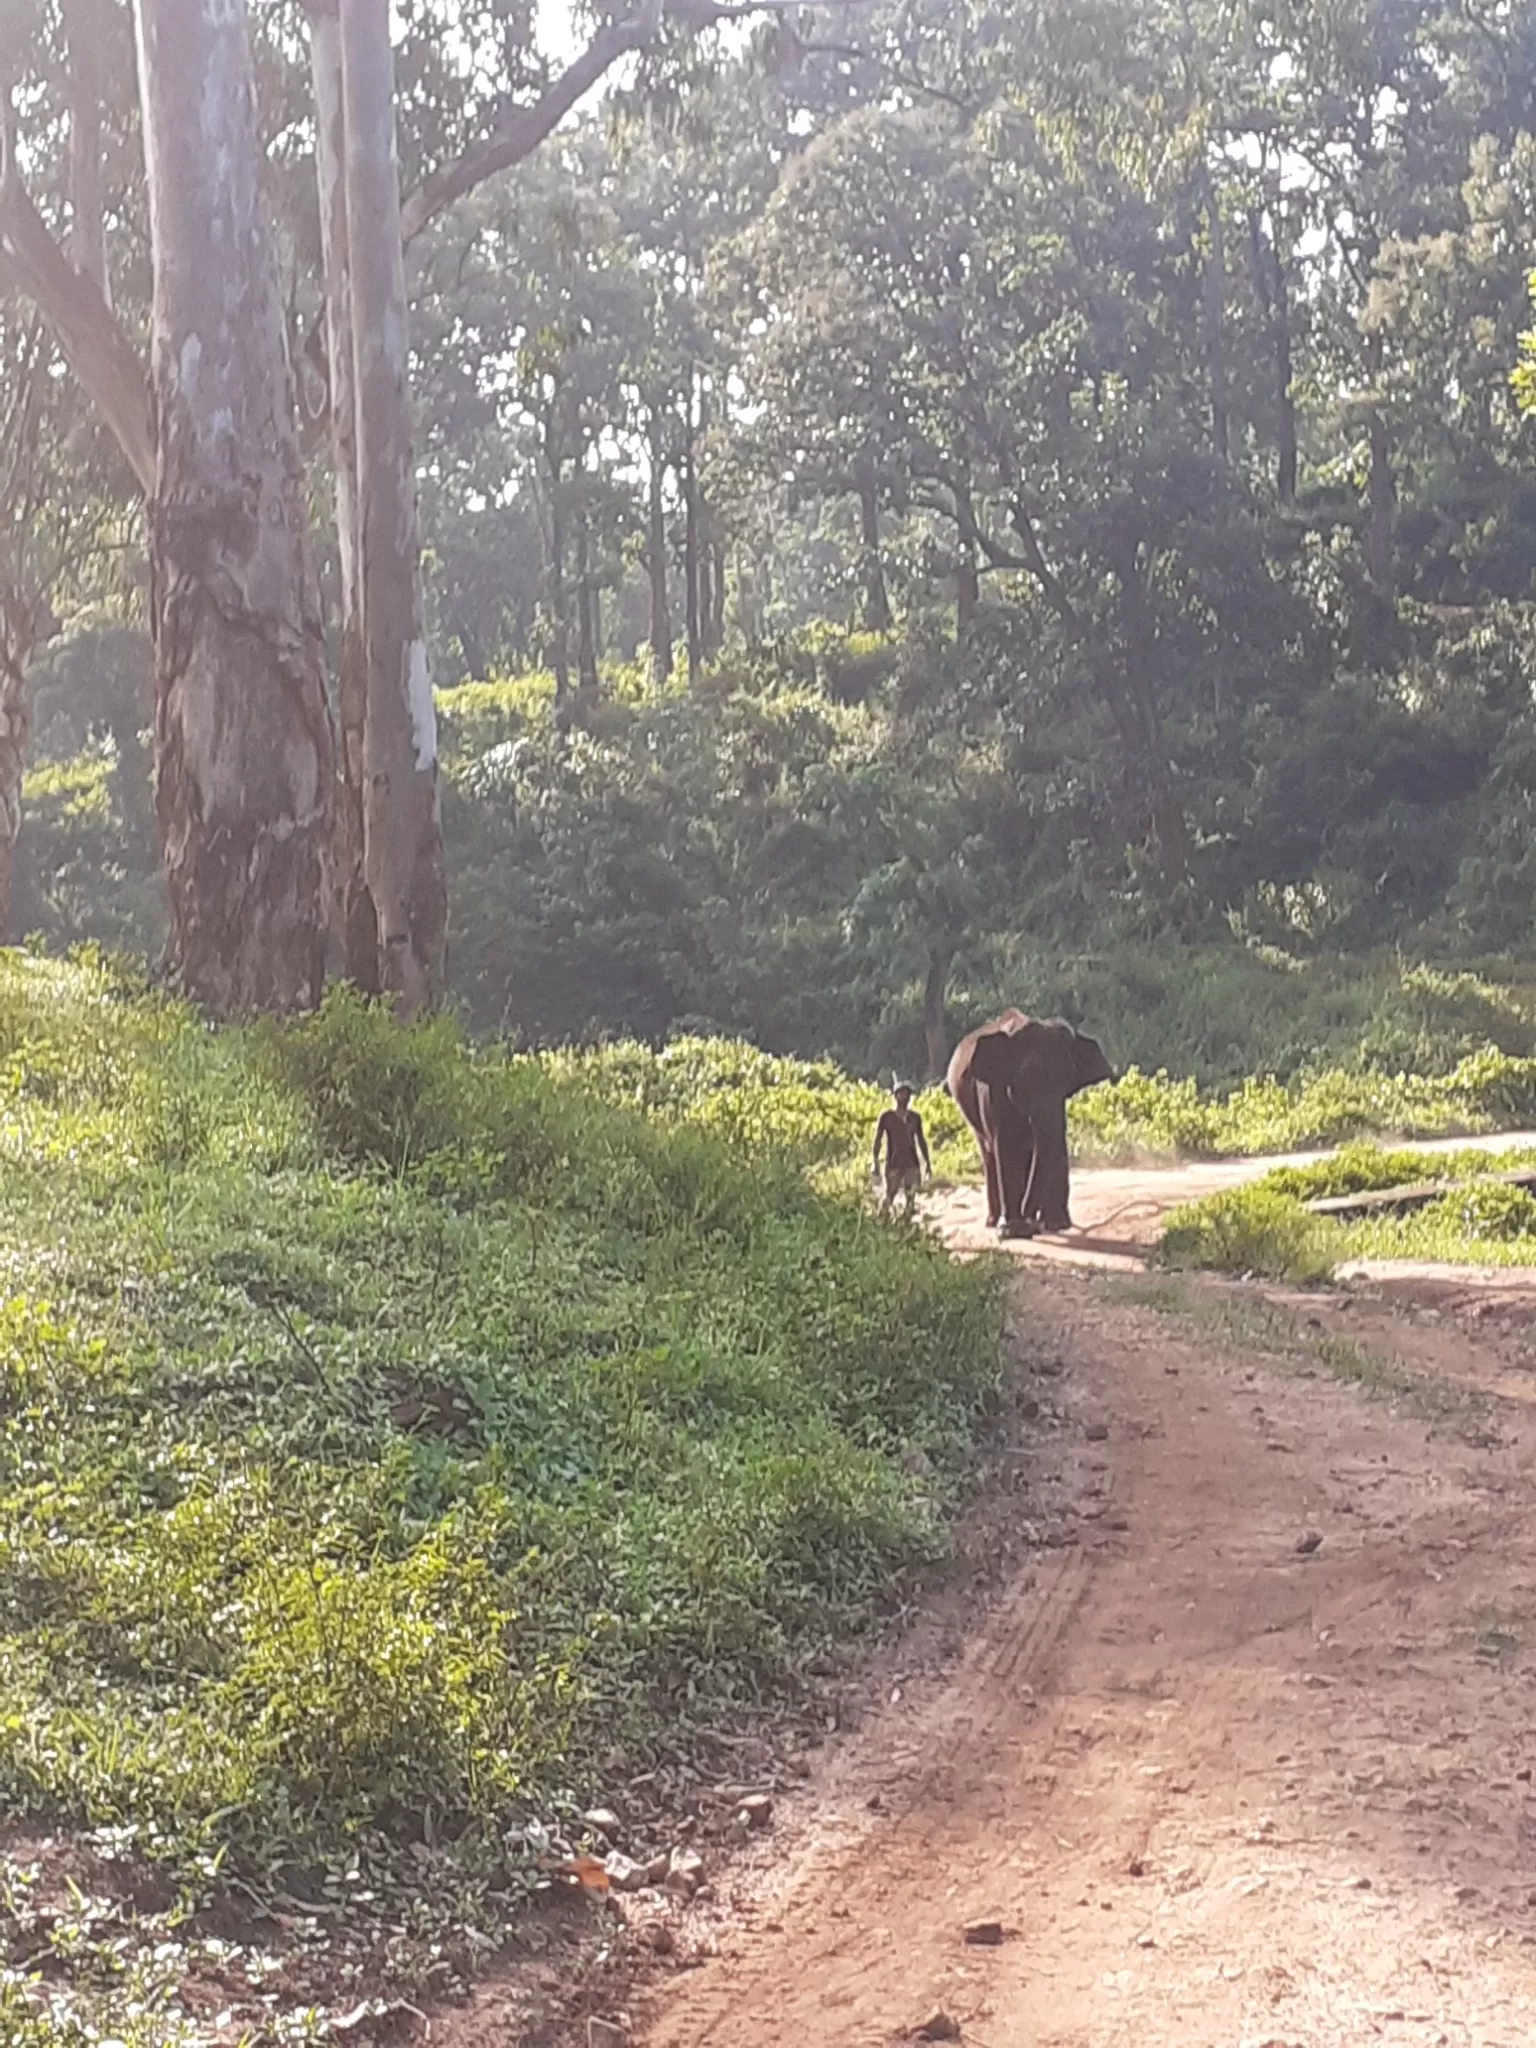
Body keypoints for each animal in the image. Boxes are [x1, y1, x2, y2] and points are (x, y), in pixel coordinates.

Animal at [946, 1011, 1114, 1236]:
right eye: (1025, 1076)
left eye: (1069, 1075)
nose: (1030, 1220)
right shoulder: (994, 1091)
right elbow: (1007, 1145)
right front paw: (1012, 1230)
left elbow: (1055, 1141)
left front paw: (1056, 1224)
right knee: (989, 1154)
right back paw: (993, 1221)